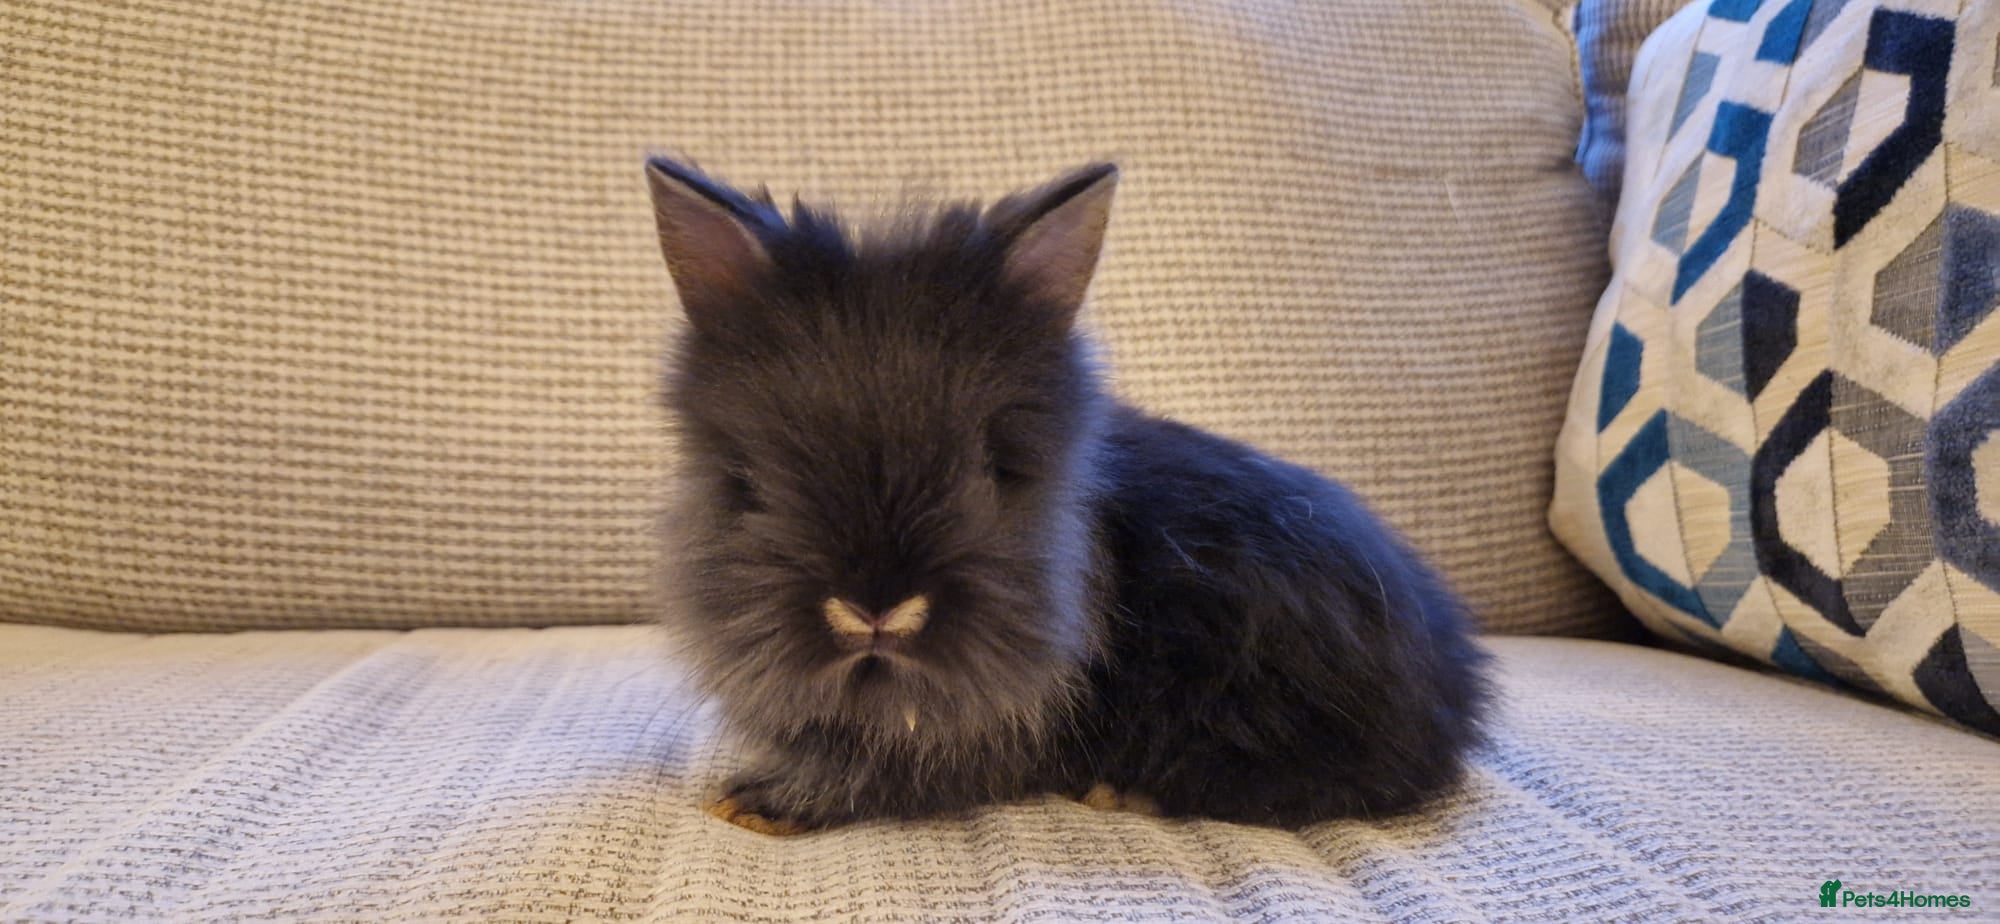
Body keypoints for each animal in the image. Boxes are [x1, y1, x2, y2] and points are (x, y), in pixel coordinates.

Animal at [646, 156, 1492, 834]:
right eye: (750, 478)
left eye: (997, 467)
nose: (874, 610)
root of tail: (1456, 682)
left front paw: (760, 802)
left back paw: (1128, 794)